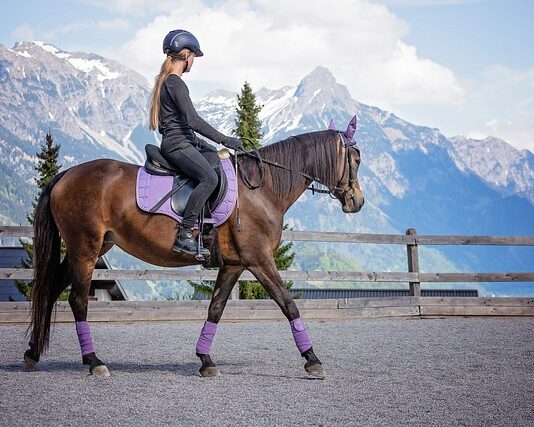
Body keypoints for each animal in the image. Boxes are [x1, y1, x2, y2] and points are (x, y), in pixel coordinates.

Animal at [24, 117, 364, 378]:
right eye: (357, 160)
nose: (357, 202)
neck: (262, 188)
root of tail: (66, 174)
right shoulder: (259, 259)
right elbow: (288, 304)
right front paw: (312, 359)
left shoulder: (235, 264)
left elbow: (216, 309)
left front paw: (205, 361)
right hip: (86, 249)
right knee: (78, 301)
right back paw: (94, 362)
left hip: (89, 248)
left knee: (51, 290)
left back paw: (33, 353)